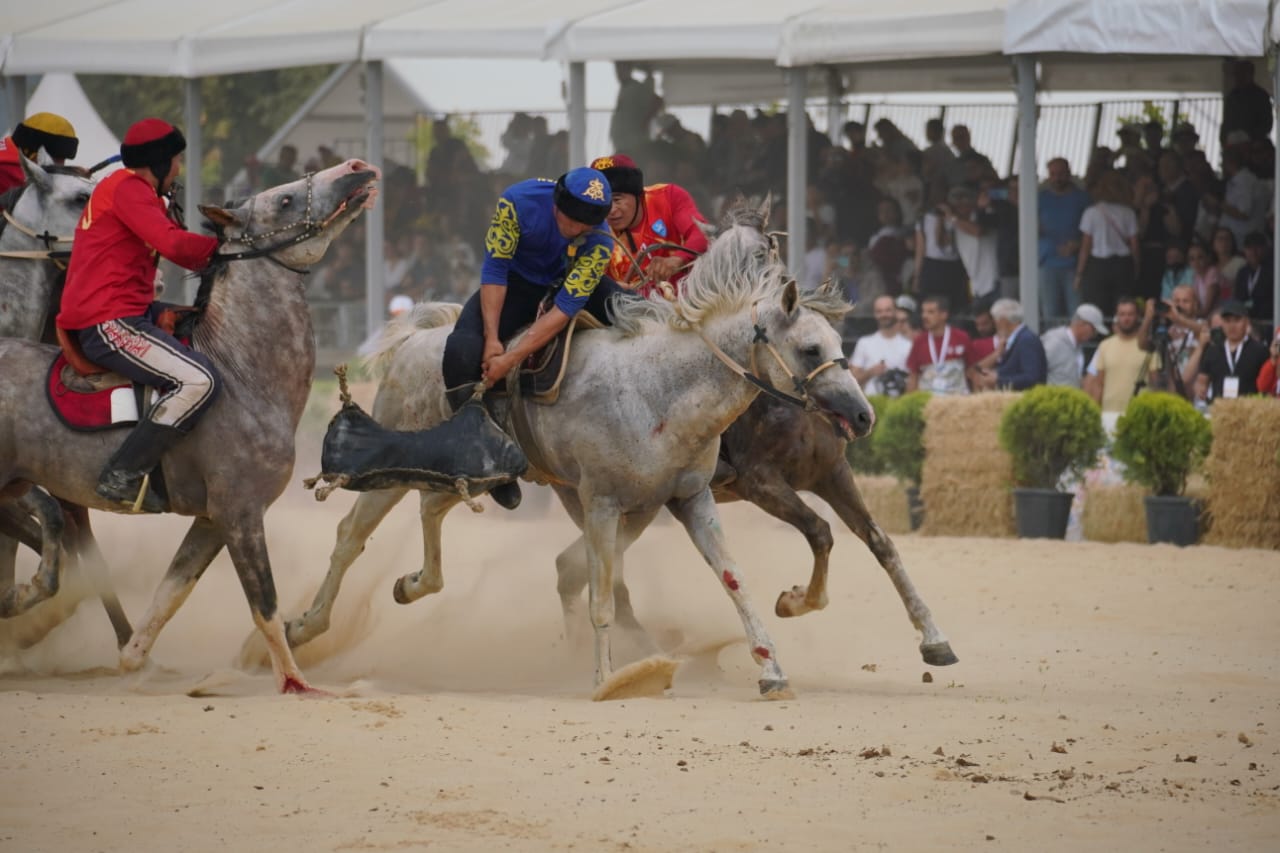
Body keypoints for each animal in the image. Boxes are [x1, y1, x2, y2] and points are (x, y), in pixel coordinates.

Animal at [277, 201, 880, 696]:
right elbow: (602, 596)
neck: (659, 389)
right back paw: (303, 626)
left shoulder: (688, 499)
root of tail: (417, 338)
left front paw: (771, 667)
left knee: (431, 512)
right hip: (397, 464)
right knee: (350, 535)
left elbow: (734, 579)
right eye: (809, 348)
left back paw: (412, 584)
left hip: (471, 478)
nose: (863, 415)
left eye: (838, 343)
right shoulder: (602, 504)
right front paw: (609, 677)